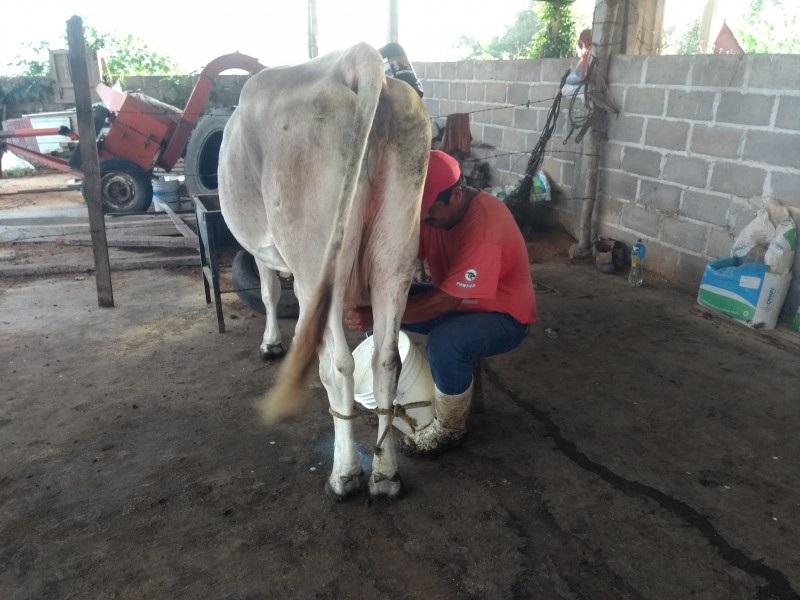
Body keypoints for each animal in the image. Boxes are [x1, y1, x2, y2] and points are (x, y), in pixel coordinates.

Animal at [217, 43, 432, 502]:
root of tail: (356, 58)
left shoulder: (267, 253)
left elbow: (268, 292)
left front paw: (272, 344)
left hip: (317, 260)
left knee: (338, 367)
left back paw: (344, 475)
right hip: (395, 254)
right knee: (386, 359)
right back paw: (385, 476)